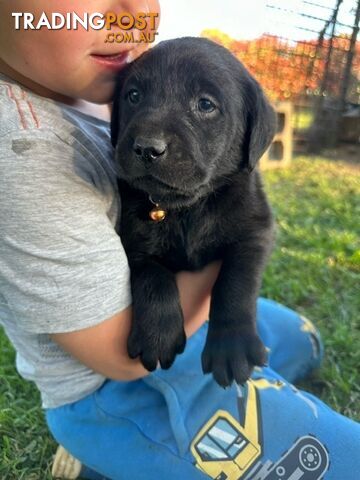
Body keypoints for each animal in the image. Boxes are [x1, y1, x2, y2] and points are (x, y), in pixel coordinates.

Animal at [111, 36, 278, 386]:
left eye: (205, 105)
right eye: (133, 95)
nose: (147, 148)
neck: (187, 208)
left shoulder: (256, 230)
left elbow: (236, 281)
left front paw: (232, 344)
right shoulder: (131, 241)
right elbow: (152, 276)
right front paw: (157, 336)